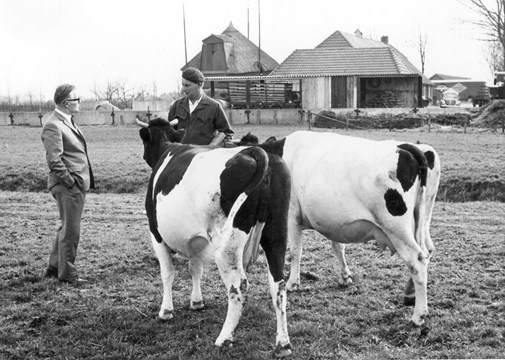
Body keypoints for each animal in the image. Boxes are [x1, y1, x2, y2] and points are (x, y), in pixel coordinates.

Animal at [136, 119, 292, 358]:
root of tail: (255, 152)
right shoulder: (197, 240)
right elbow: (195, 269)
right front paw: (197, 302)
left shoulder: (156, 233)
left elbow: (167, 273)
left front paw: (166, 311)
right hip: (276, 234)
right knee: (278, 285)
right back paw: (283, 344)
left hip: (228, 247)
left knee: (239, 286)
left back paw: (224, 338)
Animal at [236, 130, 438, 326]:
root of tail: (406, 148)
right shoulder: (334, 221)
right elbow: (338, 247)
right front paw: (345, 276)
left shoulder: (292, 216)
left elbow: (295, 251)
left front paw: (293, 282)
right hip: (422, 220)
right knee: (427, 250)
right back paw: (410, 294)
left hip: (396, 228)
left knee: (417, 260)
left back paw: (418, 315)